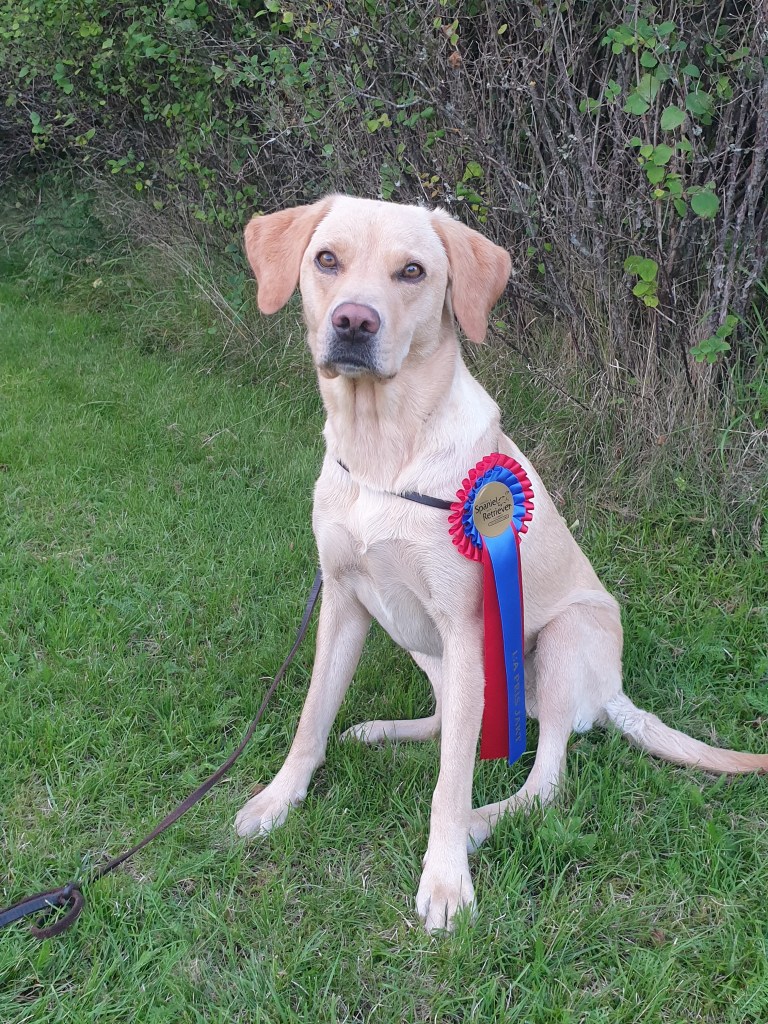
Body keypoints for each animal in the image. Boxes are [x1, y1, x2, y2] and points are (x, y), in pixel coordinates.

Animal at [235, 196, 768, 932]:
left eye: (412, 271)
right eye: (326, 259)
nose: (353, 322)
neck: (382, 451)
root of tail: (613, 693)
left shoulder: (466, 628)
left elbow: (452, 780)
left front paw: (445, 880)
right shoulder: (342, 600)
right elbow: (311, 719)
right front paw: (277, 800)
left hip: (564, 640)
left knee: (545, 779)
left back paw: (483, 820)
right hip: (420, 639)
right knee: (446, 721)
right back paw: (383, 732)